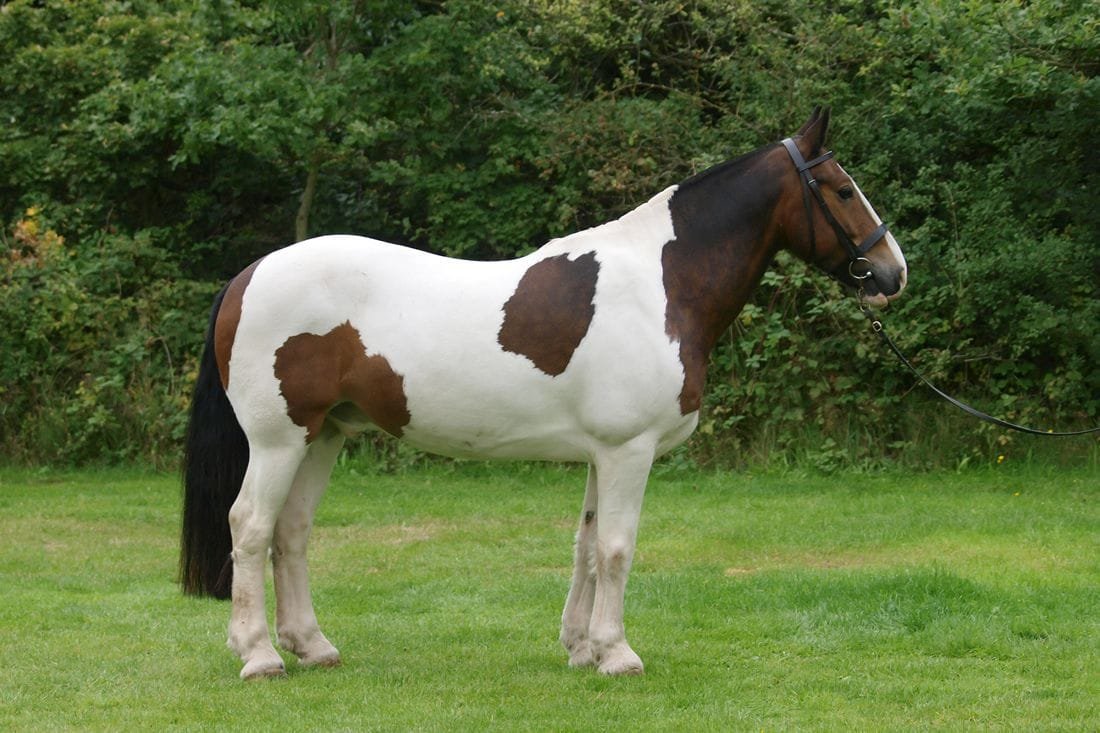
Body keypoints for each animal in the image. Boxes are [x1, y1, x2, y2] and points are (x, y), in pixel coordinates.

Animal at [178, 105, 902, 677]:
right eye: (841, 190)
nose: (892, 272)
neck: (661, 286)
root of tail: (247, 275)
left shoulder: (602, 452)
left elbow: (586, 545)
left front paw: (581, 647)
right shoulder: (628, 450)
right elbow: (616, 548)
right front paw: (618, 653)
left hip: (324, 434)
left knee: (292, 530)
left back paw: (312, 645)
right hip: (279, 439)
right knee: (250, 526)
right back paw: (259, 655)